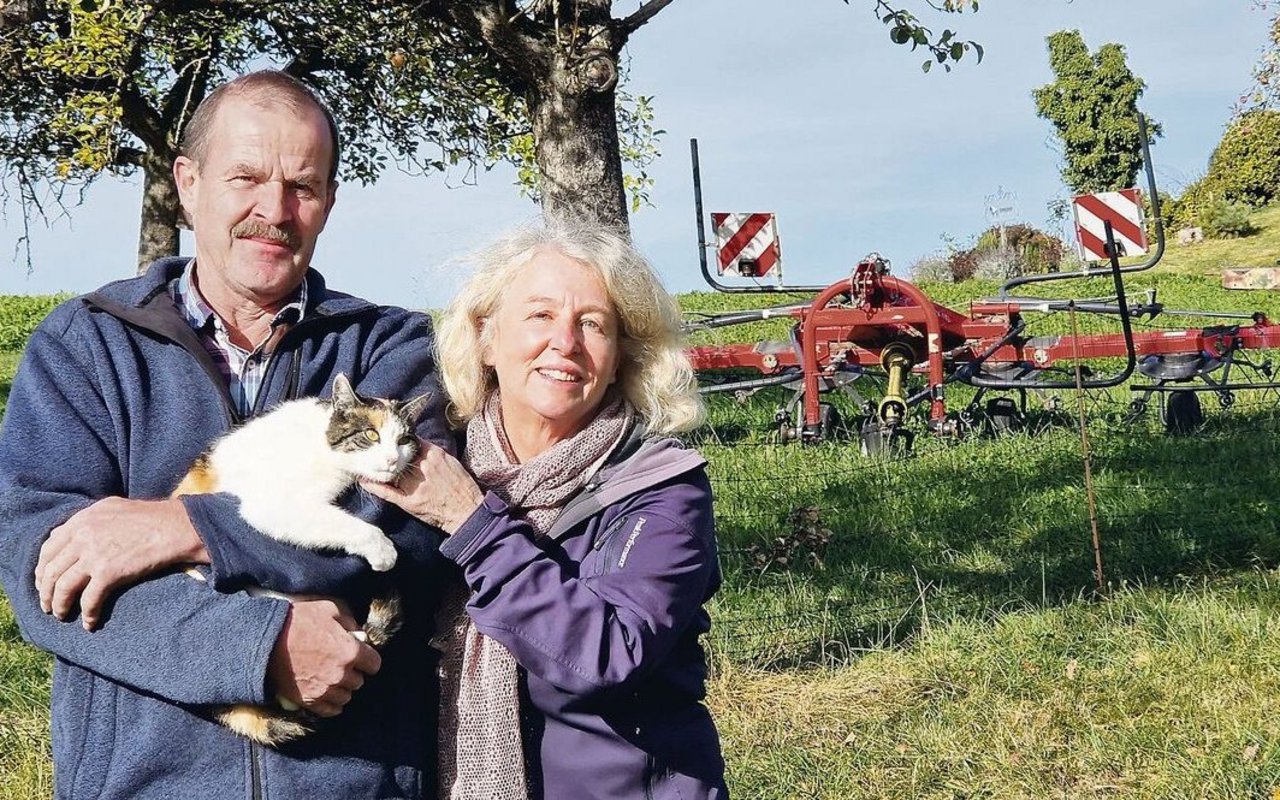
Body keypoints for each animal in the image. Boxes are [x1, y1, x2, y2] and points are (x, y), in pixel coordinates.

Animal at [172, 371, 432, 747]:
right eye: (371, 434)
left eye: (404, 440)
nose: (391, 461)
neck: (323, 444)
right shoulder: (273, 505)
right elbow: (337, 521)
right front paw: (383, 550)